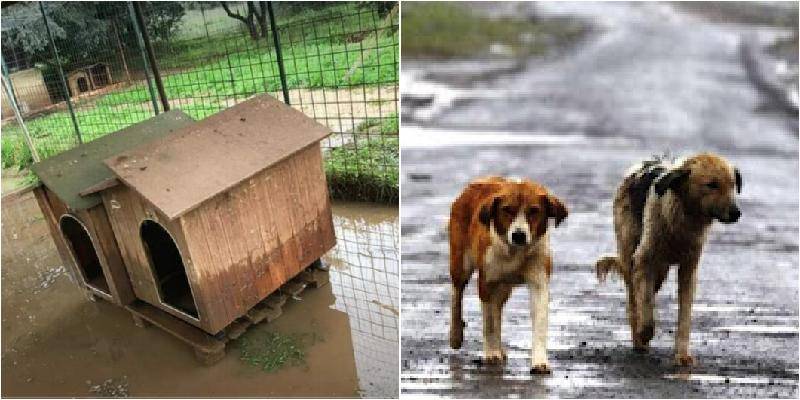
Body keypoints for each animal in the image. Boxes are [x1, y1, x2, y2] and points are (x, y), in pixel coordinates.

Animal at [450, 177, 568, 374]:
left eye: (534, 211)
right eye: (507, 210)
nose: (519, 235)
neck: (515, 253)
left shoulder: (539, 281)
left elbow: (539, 321)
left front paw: (539, 361)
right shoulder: (487, 282)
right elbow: (489, 322)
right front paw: (491, 353)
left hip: (504, 287)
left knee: (497, 307)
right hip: (461, 265)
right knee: (457, 295)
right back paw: (456, 335)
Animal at [596, 152, 740, 366]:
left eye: (732, 185)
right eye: (712, 184)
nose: (736, 213)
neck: (683, 220)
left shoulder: (688, 270)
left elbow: (684, 316)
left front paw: (682, 355)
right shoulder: (643, 262)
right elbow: (646, 307)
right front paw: (644, 333)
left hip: (661, 271)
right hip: (632, 259)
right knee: (633, 301)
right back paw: (638, 340)